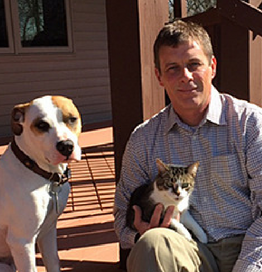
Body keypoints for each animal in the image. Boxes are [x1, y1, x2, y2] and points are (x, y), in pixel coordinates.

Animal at [0, 94, 82, 270]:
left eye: (72, 119)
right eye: (41, 125)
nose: (66, 146)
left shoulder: (48, 232)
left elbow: (53, 262)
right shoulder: (22, 241)